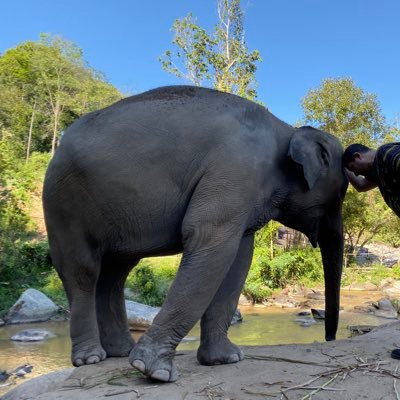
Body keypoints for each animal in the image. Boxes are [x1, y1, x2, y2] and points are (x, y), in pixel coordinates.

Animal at [43, 86, 348, 382]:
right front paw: (154, 371)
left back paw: (120, 351)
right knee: (83, 271)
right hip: (64, 202)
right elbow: (209, 242)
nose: (329, 338)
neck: (287, 130)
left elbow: (238, 258)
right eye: (339, 197)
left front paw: (225, 359)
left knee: (114, 274)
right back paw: (91, 358)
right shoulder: (234, 172)